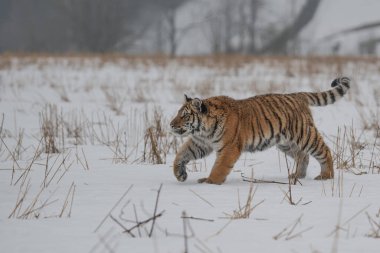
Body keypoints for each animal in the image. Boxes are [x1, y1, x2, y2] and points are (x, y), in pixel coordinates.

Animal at [171, 76, 352, 185]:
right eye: (178, 113)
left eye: (184, 115)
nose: (171, 125)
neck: (203, 130)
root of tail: (297, 95)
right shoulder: (201, 143)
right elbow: (181, 154)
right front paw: (180, 174)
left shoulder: (229, 147)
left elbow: (219, 167)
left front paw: (210, 182)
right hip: (286, 143)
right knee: (303, 156)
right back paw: (297, 176)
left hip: (304, 135)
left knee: (324, 150)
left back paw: (326, 176)